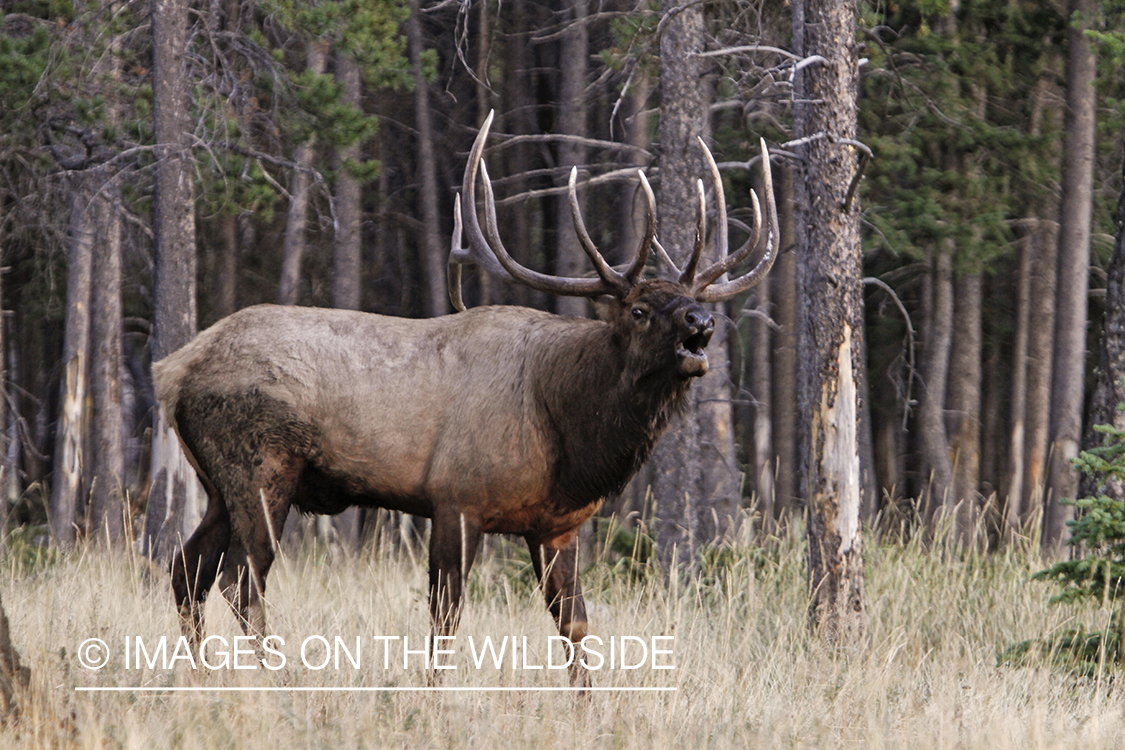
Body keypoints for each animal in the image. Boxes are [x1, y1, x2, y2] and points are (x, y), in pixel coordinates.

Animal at [160, 113, 774, 688]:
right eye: (640, 310)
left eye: (692, 300)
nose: (701, 322)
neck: (569, 436)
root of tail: (173, 369)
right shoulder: (457, 498)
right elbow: (445, 616)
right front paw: (433, 694)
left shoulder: (557, 526)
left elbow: (573, 623)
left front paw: (588, 704)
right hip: (262, 466)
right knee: (242, 579)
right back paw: (277, 677)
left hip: (217, 483)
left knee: (187, 570)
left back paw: (201, 675)